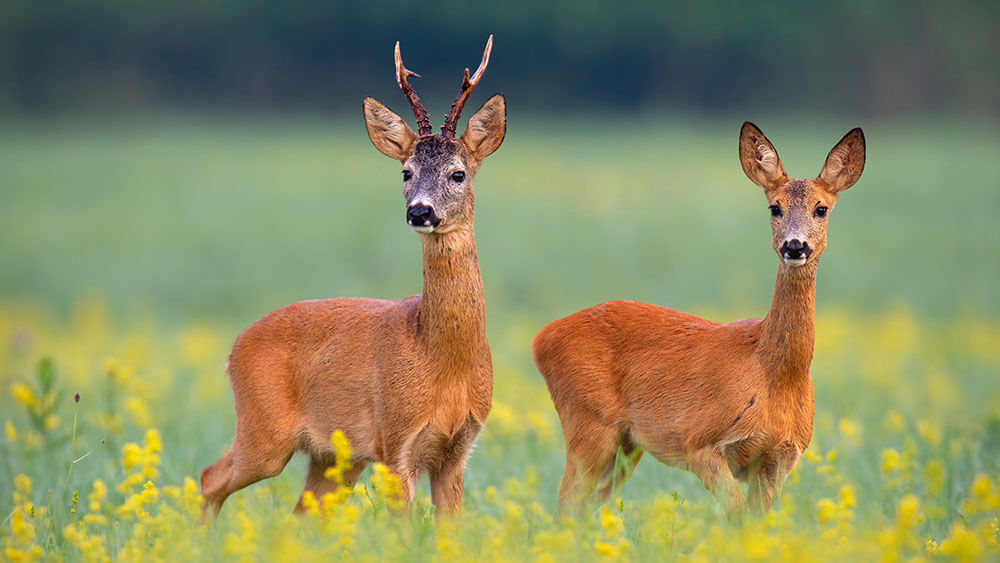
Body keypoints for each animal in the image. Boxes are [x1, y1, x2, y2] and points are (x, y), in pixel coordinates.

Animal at [201, 35, 508, 520]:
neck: (442, 360)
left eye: (458, 173)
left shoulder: (458, 449)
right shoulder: (394, 440)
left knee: (298, 512)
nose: (420, 211)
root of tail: (234, 347)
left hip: (333, 457)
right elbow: (404, 528)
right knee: (209, 478)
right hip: (264, 430)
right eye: (406, 172)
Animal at [532, 122, 868, 520]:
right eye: (775, 207)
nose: (795, 246)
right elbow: (737, 516)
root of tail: (541, 338)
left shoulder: (780, 457)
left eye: (821, 209)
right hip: (588, 421)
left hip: (624, 445)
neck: (772, 374)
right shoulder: (700, 441)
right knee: (565, 506)